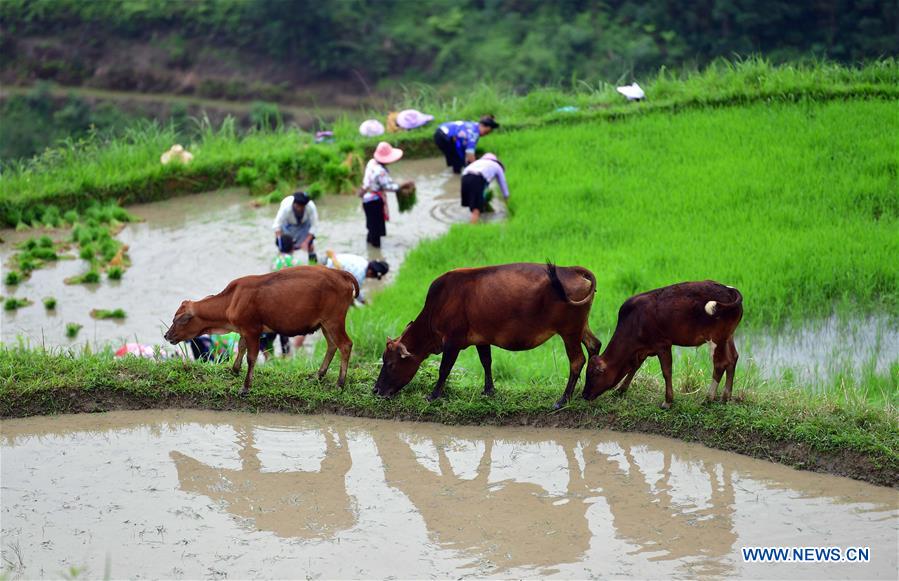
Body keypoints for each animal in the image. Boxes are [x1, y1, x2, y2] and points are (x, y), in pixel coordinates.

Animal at [163, 264, 360, 394]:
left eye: (179, 320)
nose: (166, 335)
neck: (231, 301)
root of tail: (340, 272)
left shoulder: (253, 330)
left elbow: (251, 358)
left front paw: (245, 387)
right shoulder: (244, 329)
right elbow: (241, 347)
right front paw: (234, 370)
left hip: (334, 320)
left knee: (345, 345)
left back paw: (340, 383)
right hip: (325, 324)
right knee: (332, 345)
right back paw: (319, 375)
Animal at [372, 262, 604, 408]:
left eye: (390, 364)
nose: (376, 390)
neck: (436, 307)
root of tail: (572, 270)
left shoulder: (452, 341)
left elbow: (444, 369)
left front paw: (433, 395)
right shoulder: (481, 339)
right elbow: (486, 362)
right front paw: (489, 390)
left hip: (569, 331)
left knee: (577, 360)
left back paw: (563, 400)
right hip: (580, 327)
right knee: (594, 345)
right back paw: (587, 391)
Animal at [584, 280, 744, 408]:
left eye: (592, 374)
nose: (584, 395)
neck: (634, 321)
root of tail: (729, 290)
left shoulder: (663, 344)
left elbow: (666, 372)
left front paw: (668, 402)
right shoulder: (644, 349)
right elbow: (635, 367)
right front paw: (620, 390)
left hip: (715, 339)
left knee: (720, 364)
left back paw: (708, 398)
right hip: (728, 336)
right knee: (733, 359)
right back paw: (726, 397)